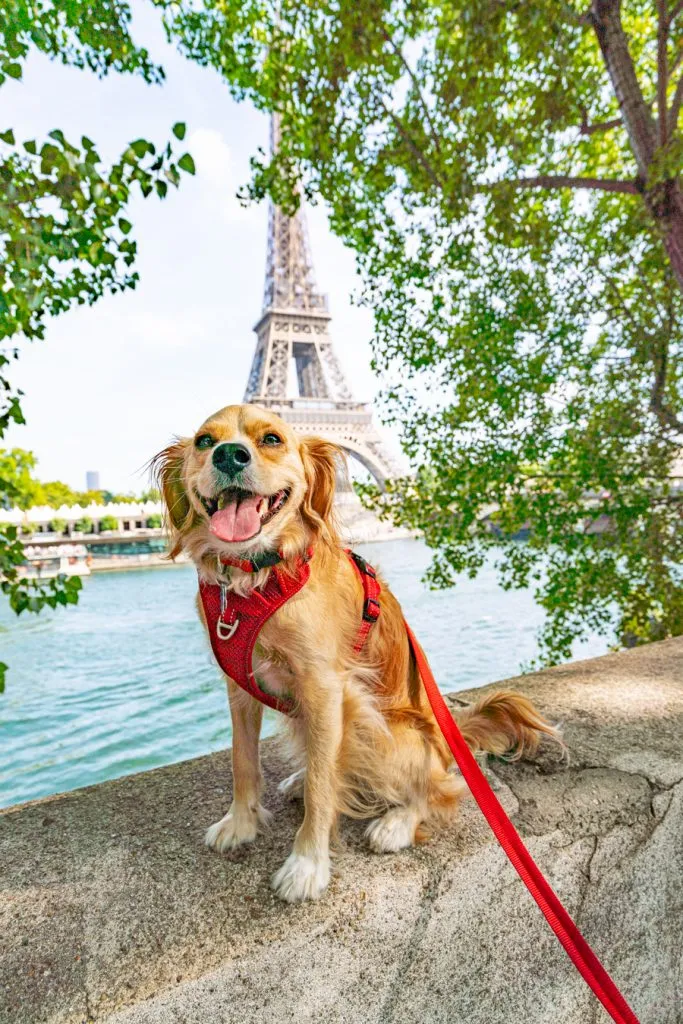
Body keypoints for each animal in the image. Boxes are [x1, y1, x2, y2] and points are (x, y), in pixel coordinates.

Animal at [152, 403, 557, 901]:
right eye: (205, 441)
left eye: (272, 439)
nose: (229, 455)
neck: (256, 578)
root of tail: (447, 739)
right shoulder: (240, 687)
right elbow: (242, 761)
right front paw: (241, 823)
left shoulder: (326, 691)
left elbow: (325, 789)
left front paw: (308, 864)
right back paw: (301, 780)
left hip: (380, 731)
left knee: (440, 786)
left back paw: (396, 823)